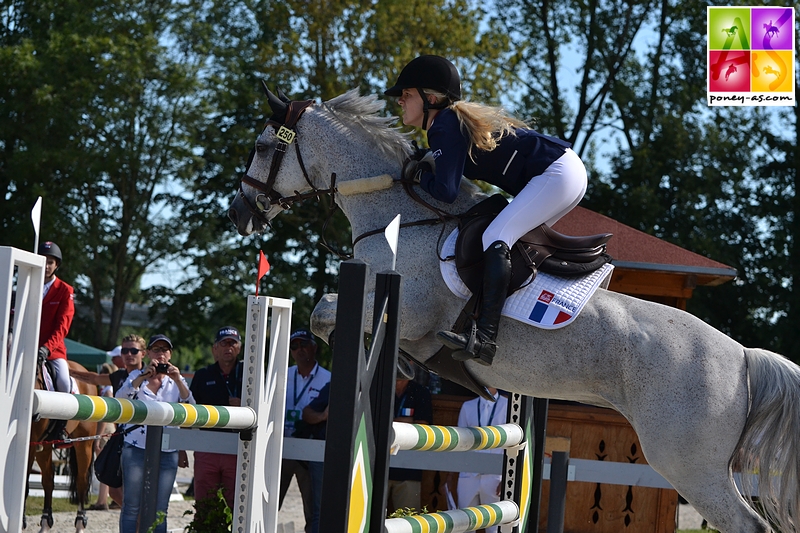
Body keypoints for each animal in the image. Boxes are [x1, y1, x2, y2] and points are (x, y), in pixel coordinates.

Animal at [24, 360, 99, 528]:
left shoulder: (30, 445)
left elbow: (24, 482)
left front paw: (22, 521)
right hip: (44, 447)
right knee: (48, 479)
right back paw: (46, 521)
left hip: (84, 445)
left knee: (81, 481)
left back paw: (80, 521)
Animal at [228, 89, 800, 528]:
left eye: (261, 147)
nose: (240, 213)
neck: (399, 215)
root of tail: (743, 357)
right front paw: (419, 364)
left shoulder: (403, 308)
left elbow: (324, 313)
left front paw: (412, 364)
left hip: (689, 464)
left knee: (746, 523)